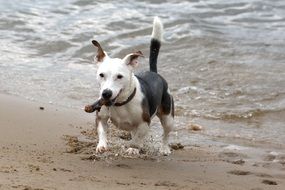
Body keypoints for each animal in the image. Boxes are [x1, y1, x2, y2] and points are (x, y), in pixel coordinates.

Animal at [89, 16, 173, 156]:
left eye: (119, 76)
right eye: (101, 75)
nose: (106, 93)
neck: (121, 103)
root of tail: (154, 73)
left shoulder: (144, 122)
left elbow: (138, 137)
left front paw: (133, 147)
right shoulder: (101, 116)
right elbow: (102, 130)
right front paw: (102, 145)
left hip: (168, 116)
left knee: (166, 132)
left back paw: (164, 148)